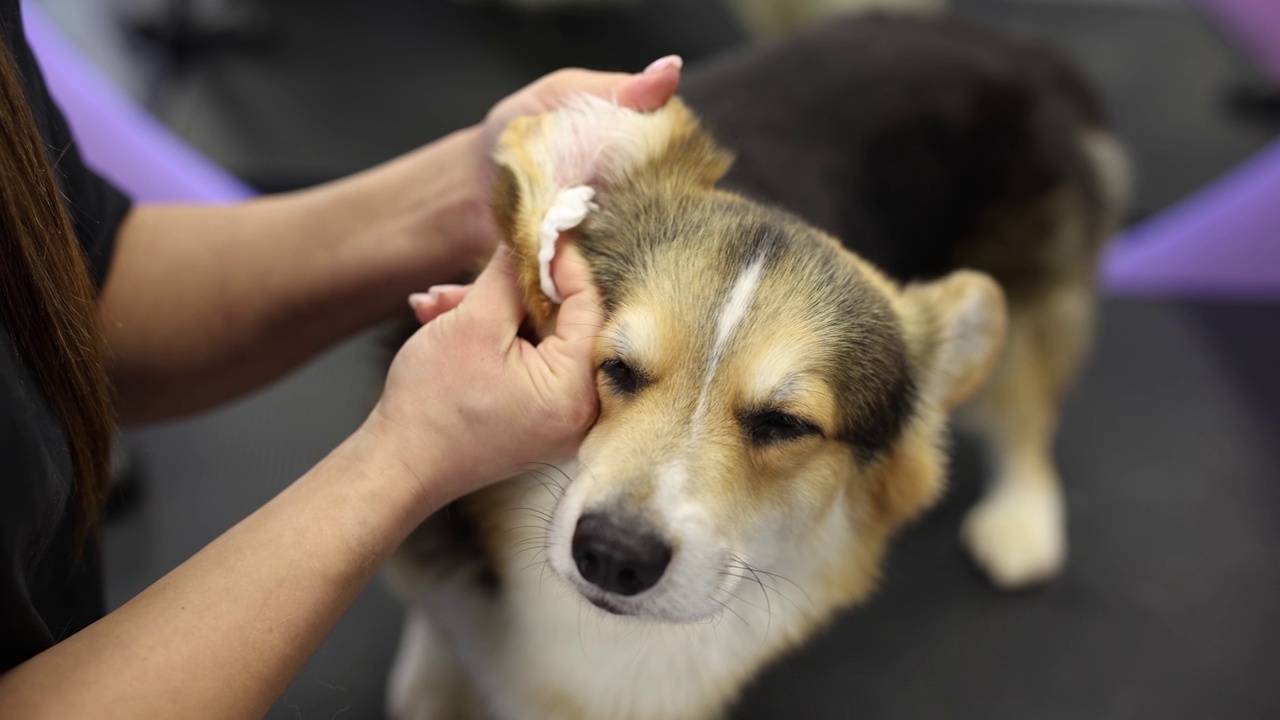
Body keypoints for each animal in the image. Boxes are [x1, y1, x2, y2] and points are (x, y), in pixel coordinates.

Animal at [381, 16, 1131, 717]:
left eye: (784, 424)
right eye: (615, 367)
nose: (615, 554)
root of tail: (1012, 44)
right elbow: (437, 625)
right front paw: (435, 681)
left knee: (1027, 412)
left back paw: (1023, 520)